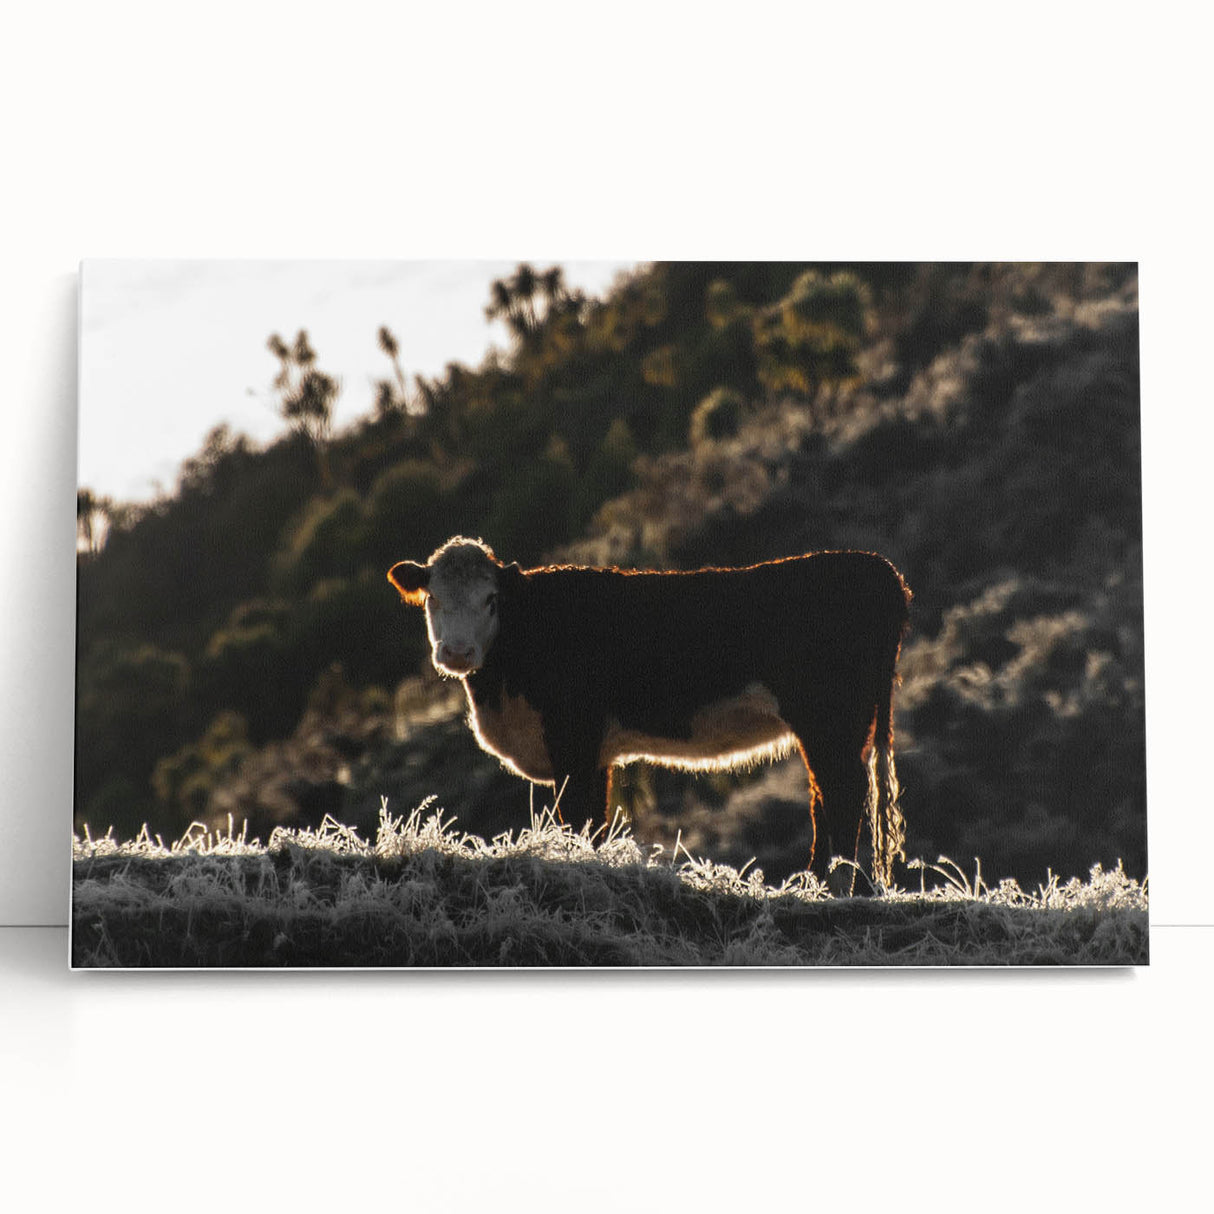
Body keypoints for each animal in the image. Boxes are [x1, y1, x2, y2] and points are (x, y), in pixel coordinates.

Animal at [388, 536, 911, 893]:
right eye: (433, 598)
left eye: (491, 599)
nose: (456, 652)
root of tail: (874, 566)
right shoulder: (595, 753)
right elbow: (594, 821)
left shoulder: (572, 738)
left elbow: (574, 815)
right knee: (828, 794)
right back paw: (817, 881)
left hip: (829, 720)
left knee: (842, 793)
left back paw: (831, 885)